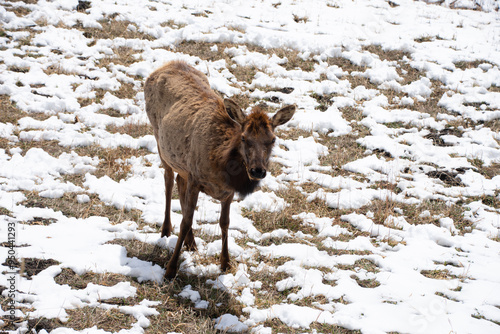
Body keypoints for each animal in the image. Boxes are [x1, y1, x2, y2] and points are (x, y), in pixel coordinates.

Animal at [143, 60, 294, 280]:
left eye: (273, 139)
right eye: (244, 137)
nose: (257, 171)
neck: (220, 165)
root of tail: (168, 64)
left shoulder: (226, 192)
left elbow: (224, 222)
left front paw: (225, 263)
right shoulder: (196, 178)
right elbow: (186, 220)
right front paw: (170, 269)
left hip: (182, 163)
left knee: (179, 181)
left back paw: (191, 243)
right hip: (159, 140)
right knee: (169, 180)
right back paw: (165, 230)